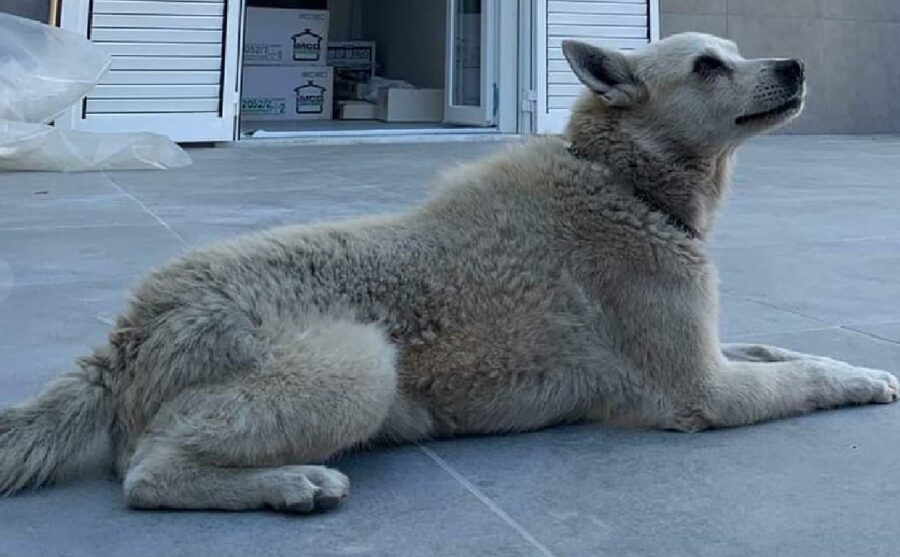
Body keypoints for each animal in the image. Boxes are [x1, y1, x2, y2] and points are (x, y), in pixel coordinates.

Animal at [0, 32, 896, 512]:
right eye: (709, 65)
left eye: (737, 53)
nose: (796, 65)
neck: (621, 177)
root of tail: (127, 332)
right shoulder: (702, 390)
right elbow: (801, 378)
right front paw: (859, 381)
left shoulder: (711, 348)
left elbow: (783, 349)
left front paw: (865, 365)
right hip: (362, 366)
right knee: (146, 475)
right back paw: (290, 482)